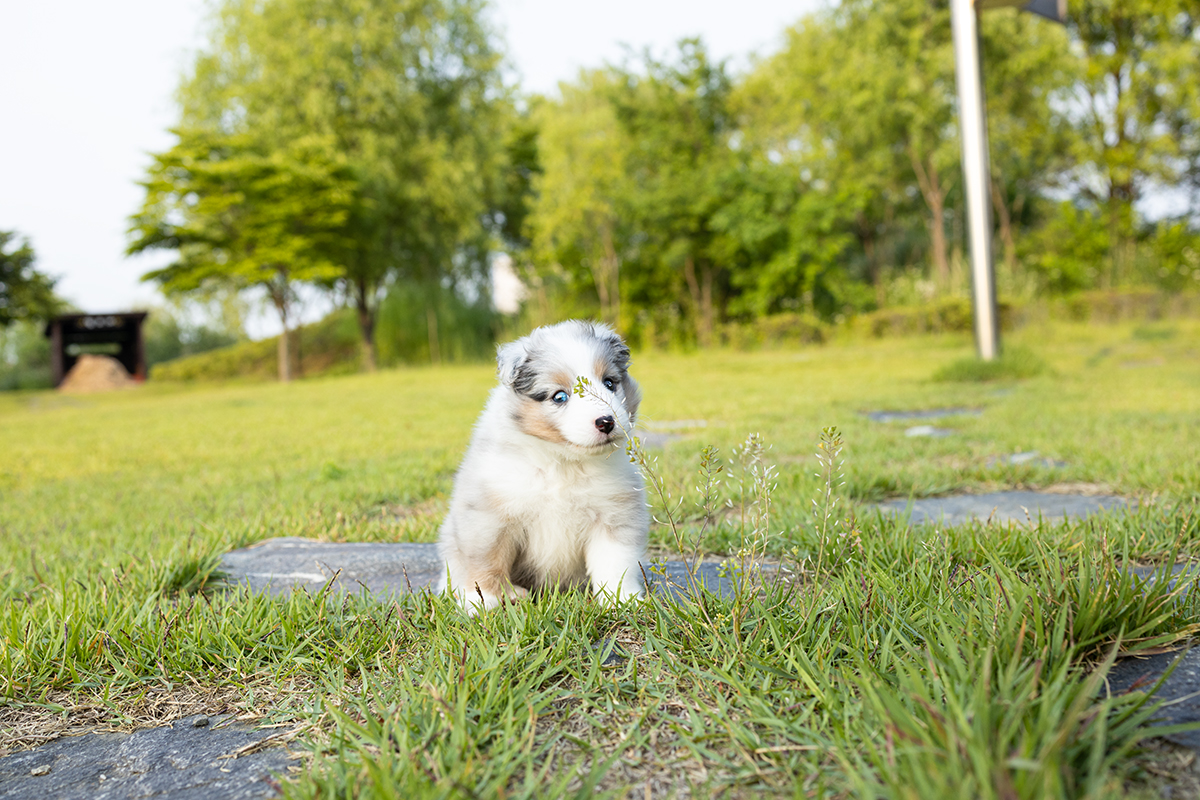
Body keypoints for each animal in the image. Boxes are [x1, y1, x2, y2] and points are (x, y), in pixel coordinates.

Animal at [439, 319, 648, 614]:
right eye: (559, 397)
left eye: (609, 383)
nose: (606, 422)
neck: (562, 462)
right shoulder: (489, 516)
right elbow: (487, 560)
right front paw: (484, 600)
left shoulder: (614, 513)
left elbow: (615, 562)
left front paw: (621, 599)